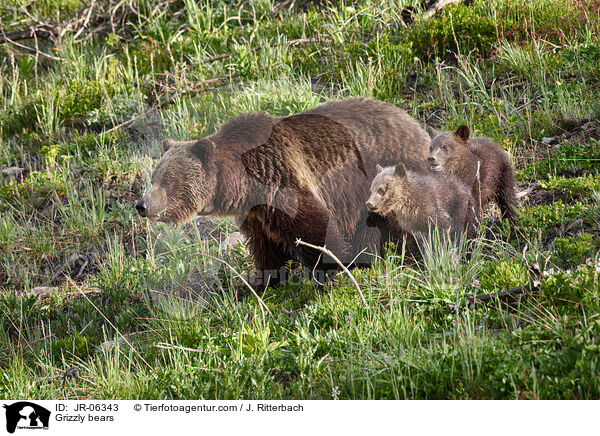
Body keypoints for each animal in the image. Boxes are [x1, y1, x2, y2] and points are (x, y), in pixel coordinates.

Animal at [137, 99, 432, 290]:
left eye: (168, 180)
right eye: (153, 177)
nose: (142, 205)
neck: (243, 182)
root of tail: (417, 126)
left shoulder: (280, 179)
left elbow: (313, 227)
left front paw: (328, 271)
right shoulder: (254, 212)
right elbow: (266, 246)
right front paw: (260, 280)